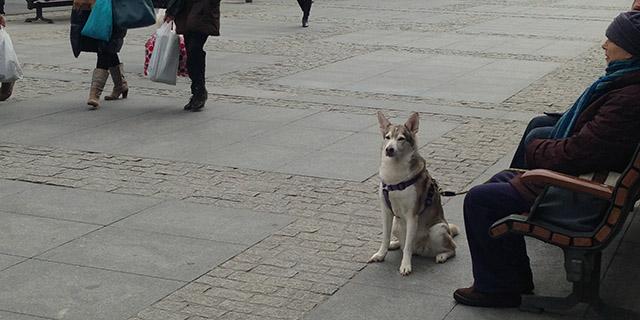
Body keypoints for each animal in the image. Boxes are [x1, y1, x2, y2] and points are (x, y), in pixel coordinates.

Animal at [368, 112, 458, 276]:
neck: (395, 177)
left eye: (401, 138)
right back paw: (395, 243)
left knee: (452, 248)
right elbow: (385, 237)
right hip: (396, 224)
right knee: (402, 243)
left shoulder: (412, 215)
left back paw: (442, 255)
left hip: (438, 229)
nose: (389, 149)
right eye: (387, 137)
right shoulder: (386, 212)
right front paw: (381, 254)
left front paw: (405, 265)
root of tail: (421, 250)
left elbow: (408, 247)